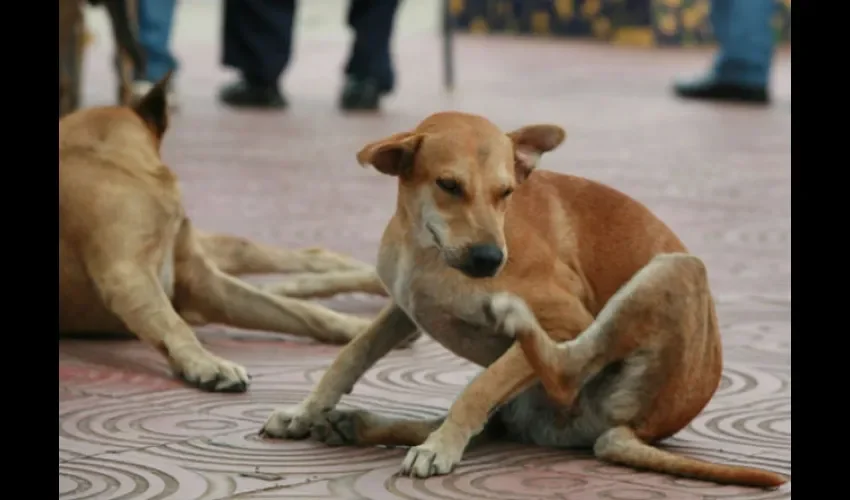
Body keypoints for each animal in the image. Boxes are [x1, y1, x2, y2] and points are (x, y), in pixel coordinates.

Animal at [58, 75, 390, 394]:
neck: (103, 158)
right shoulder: (129, 276)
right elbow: (174, 323)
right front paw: (206, 363)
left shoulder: (204, 282)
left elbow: (300, 310)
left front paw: (356, 327)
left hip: (224, 249)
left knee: (302, 257)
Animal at [260, 110, 788, 488]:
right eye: (449, 185)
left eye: (506, 192)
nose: (491, 259)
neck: (427, 250)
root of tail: (632, 431)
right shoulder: (404, 307)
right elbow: (352, 353)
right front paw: (306, 411)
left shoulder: (569, 319)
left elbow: (481, 387)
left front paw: (441, 447)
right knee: (494, 427)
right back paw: (356, 425)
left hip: (677, 270)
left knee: (560, 373)